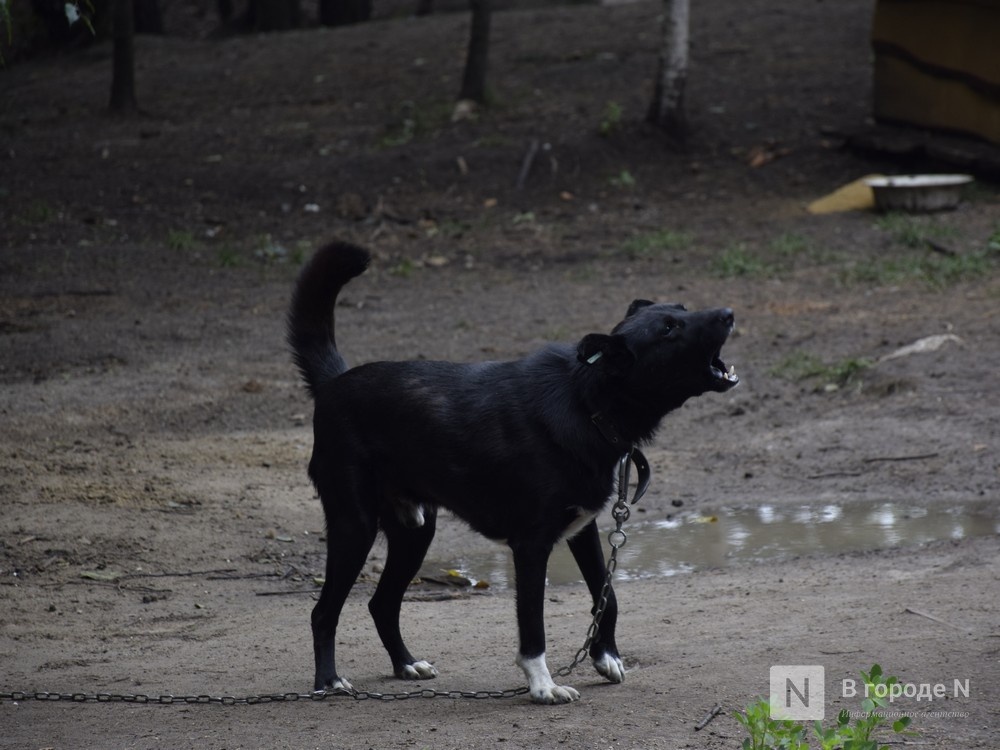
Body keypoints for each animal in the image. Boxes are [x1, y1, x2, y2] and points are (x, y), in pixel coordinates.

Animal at [286, 244, 740, 708]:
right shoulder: (531, 545)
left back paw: (405, 664)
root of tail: (334, 383)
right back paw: (328, 681)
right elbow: (533, 624)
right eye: (668, 329)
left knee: (382, 603)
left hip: (415, 532)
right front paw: (542, 685)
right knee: (324, 611)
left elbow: (606, 598)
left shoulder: (584, 530)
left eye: (682, 309)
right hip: (354, 526)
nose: (728, 313)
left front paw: (605, 655)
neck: (586, 400)